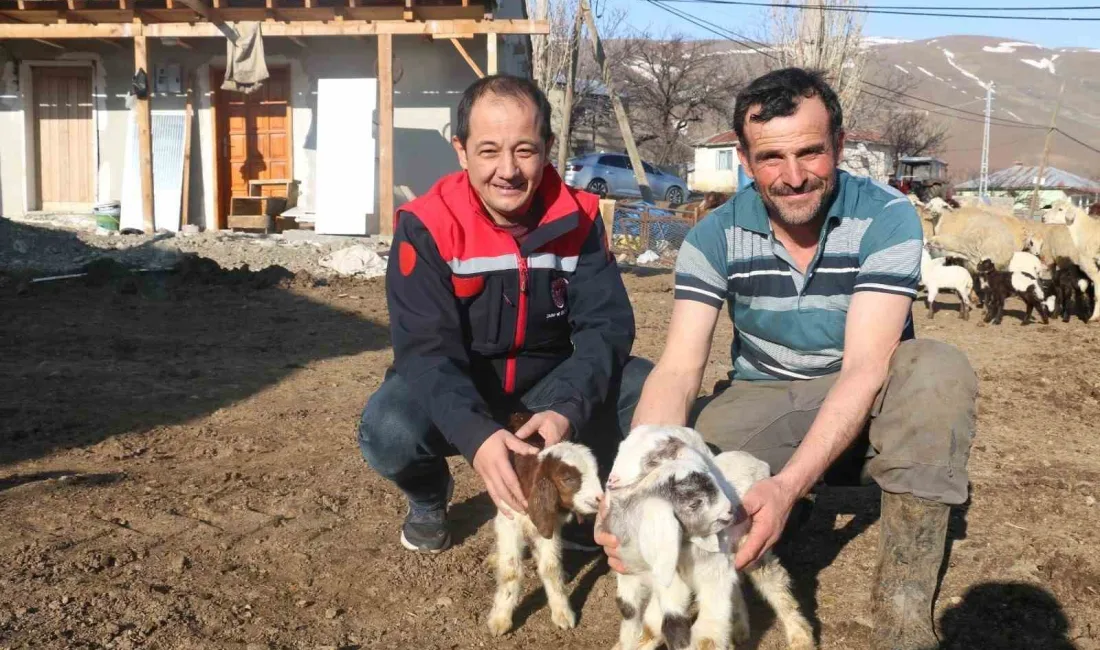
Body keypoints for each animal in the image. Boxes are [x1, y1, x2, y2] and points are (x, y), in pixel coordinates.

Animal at [486, 417, 602, 637]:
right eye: (568, 479)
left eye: (596, 474)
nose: (600, 499)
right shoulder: (509, 519)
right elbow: (511, 570)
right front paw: (500, 619)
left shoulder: (551, 524)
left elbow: (550, 566)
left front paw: (562, 612)